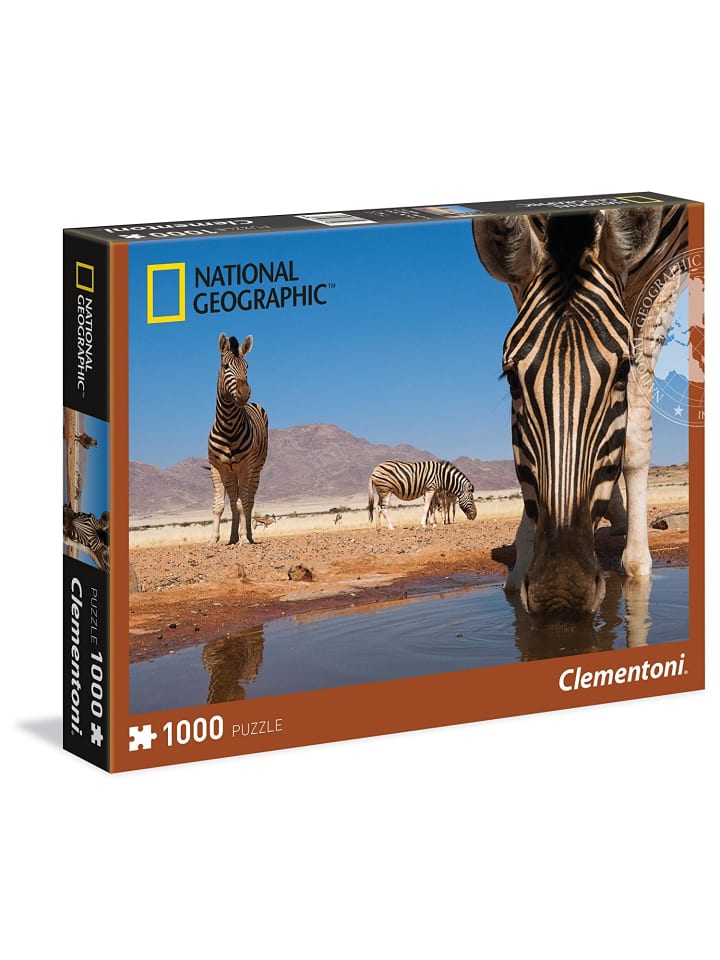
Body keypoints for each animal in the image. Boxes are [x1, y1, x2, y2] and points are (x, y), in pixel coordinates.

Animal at [208, 333, 269, 545]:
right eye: (226, 366)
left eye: (247, 366)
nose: (244, 393)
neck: (228, 426)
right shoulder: (217, 467)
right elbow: (220, 506)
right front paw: (213, 540)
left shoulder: (246, 467)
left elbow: (244, 504)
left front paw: (244, 539)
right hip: (230, 473)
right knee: (234, 502)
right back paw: (232, 537)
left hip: (256, 469)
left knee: (249, 501)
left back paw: (247, 535)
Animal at [472, 204, 691, 619]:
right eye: (511, 379)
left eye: (621, 373)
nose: (561, 592)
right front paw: (521, 561)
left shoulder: (669, 268)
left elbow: (634, 435)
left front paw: (638, 566)